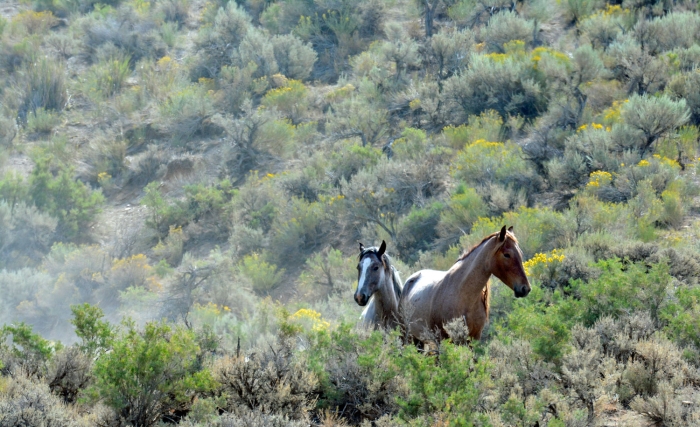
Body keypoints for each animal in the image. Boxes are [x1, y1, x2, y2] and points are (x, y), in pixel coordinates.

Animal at [400, 227, 532, 344]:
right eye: (506, 254)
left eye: (520, 253)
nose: (525, 288)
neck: (464, 296)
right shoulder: (447, 339)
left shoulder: (473, 339)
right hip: (409, 336)